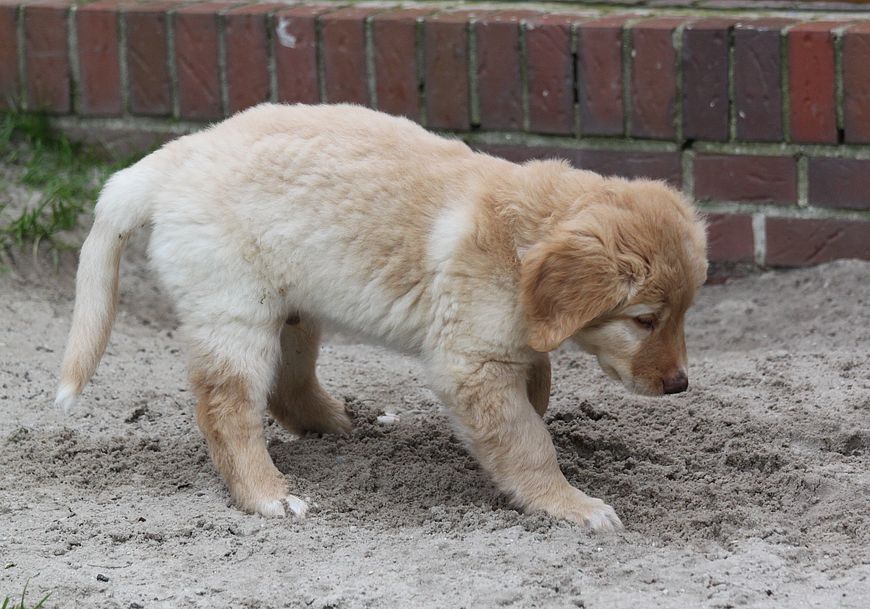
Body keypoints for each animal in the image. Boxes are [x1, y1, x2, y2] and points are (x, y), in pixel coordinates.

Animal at [55, 103, 707, 531]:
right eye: (645, 320)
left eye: (682, 314)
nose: (680, 386)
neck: (521, 235)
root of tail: (169, 160)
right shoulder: (469, 362)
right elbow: (526, 439)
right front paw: (568, 503)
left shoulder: (506, 338)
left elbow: (537, 380)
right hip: (235, 309)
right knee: (228, 408)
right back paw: (267, 495)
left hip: (294, 310)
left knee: (288, 389)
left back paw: (343, 422)